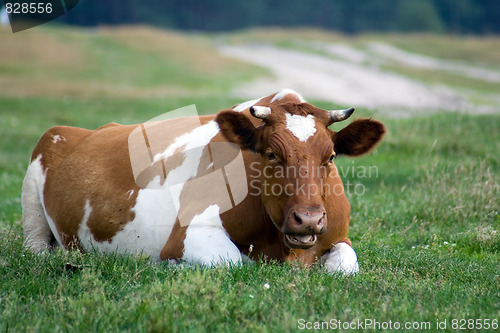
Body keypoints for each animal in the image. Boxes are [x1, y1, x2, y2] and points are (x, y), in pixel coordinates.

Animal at [21, 89, 384, 274]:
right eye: (271, 154)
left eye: (331, 158)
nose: (308, 219)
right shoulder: (187, 232)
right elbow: (232, 261)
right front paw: (171, 266)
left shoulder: (339, 235)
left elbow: (345, 265)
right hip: (33, 199)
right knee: (36, 249)